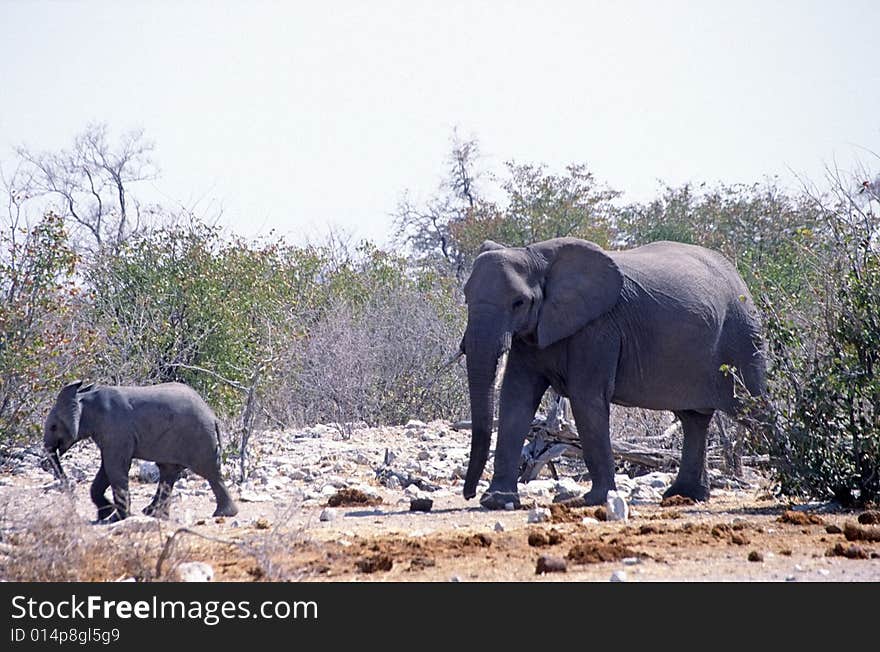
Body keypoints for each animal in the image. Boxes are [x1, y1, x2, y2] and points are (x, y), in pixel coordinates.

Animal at [43, 380, 239, 524]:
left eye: (53, 427)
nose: (71, 492)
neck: (84, 397)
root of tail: (212, 416)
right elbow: (107, 469)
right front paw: (106, 514)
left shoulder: (116, 429)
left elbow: (115, 467)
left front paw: (116, 518)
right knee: (169, 471)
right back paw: (154, 514)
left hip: (198, 437)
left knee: (208, 472)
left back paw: (224, 514)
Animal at [464, 238, 768, 510]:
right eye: (466, 297)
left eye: (519, 302)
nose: (468, 494)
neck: (537, 256)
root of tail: (740, 280)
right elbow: (516, 398)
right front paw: (497, 501)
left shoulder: (599, 328)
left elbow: (586, 398)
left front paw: (595, 500)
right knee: (694, 419)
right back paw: (685, 495)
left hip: (743, 334)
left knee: (753, 409)